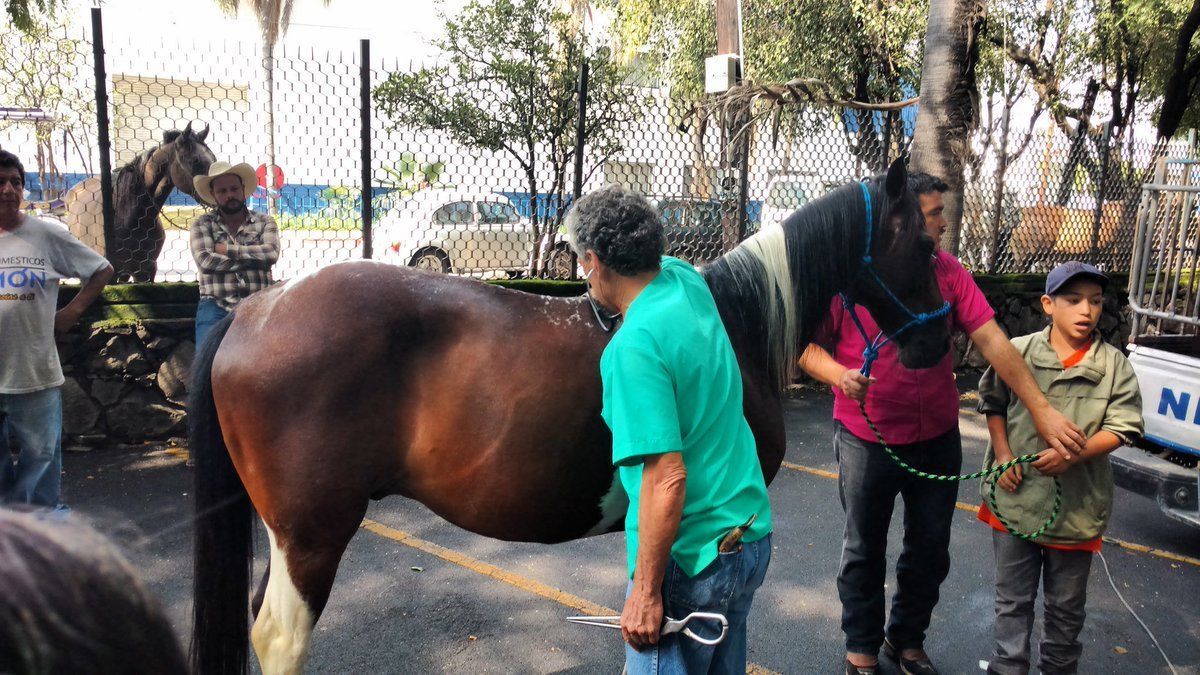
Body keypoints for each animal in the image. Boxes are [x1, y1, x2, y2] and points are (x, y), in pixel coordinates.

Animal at [192, 158, 950, 672]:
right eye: (926, 245)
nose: (938, 341)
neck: (732, 321)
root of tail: (254, 311)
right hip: (311, 535)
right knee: (280, 638)